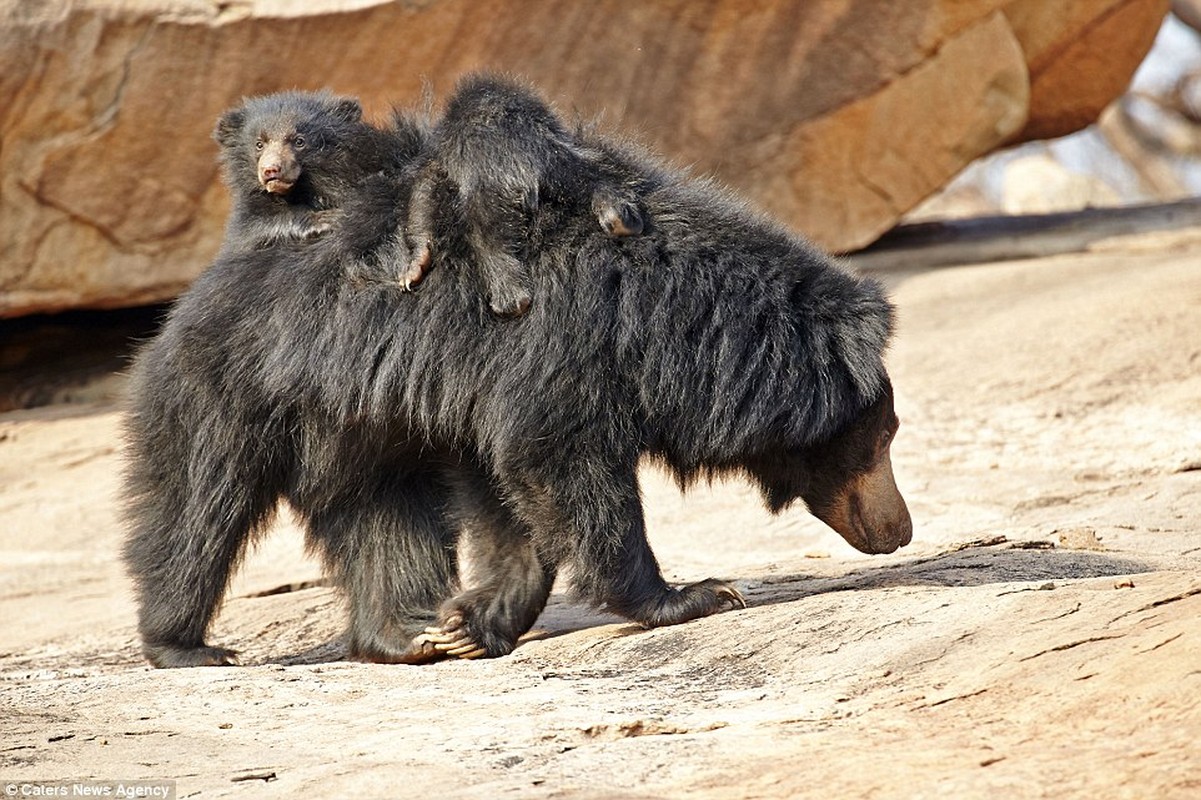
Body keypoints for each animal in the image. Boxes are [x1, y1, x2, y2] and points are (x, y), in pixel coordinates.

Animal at [124, 74, 907, 663]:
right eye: (880, 440)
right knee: (193, 509)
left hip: (357, 424)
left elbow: (508, 490)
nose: (898, 530)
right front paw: (698, 595)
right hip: (227, 390)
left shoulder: (480, 390)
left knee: (385, 516)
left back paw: (410, 632)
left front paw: (470, 624)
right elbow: (558, 462)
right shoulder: (563, 344)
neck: (669, 317)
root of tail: (198, 291)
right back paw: (187, 645)